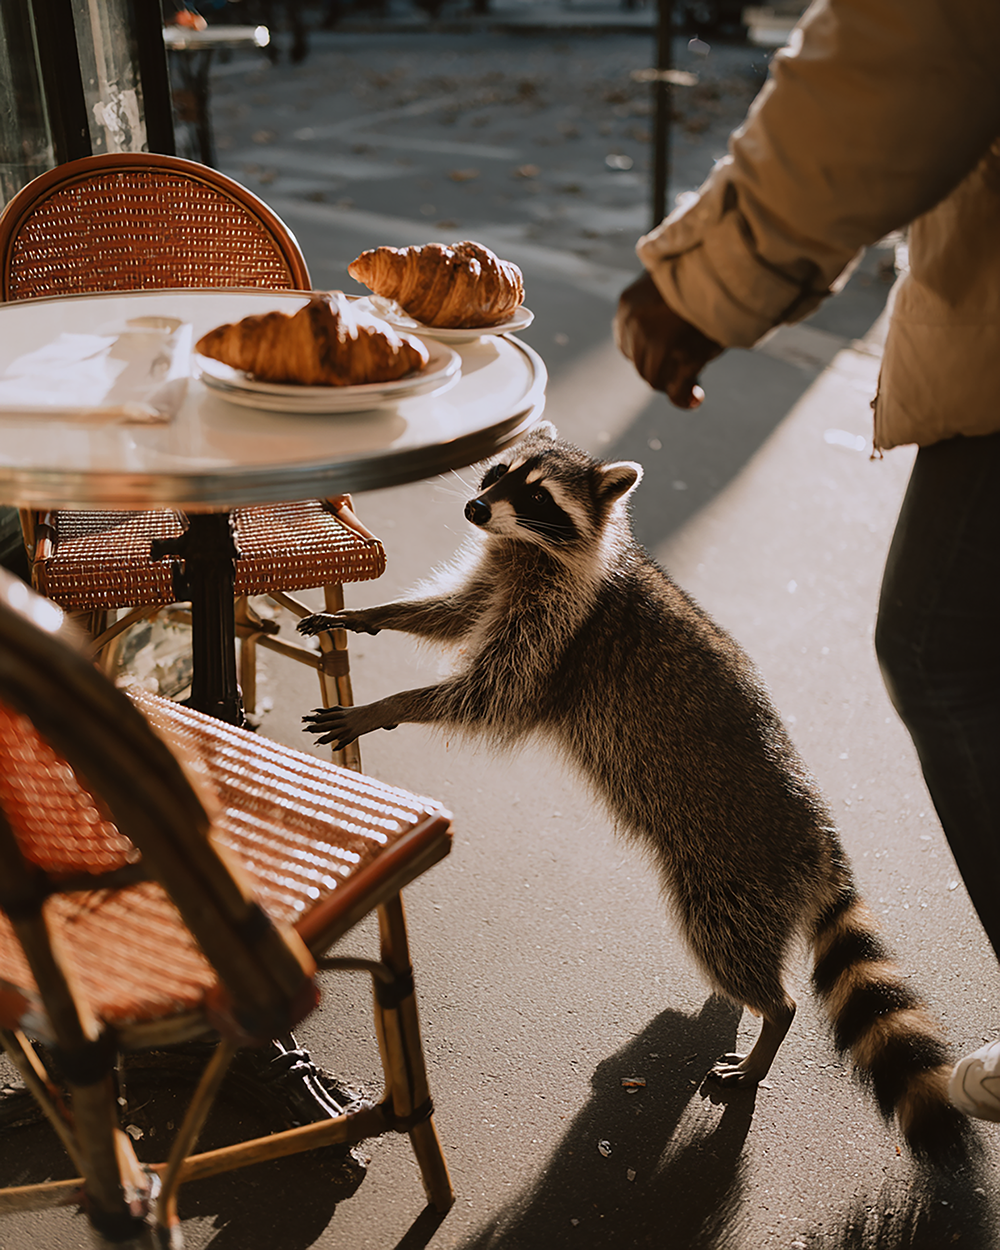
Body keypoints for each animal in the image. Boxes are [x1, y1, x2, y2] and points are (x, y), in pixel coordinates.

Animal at [298, 423, 967, 1159]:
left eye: (538, 496)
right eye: (498, 473)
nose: (474, 509)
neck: (530, 547)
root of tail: (818, 838)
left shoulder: (558, 629)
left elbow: (492, 695)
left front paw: (387, 705)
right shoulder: (504, 575)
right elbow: (454, 611)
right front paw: (374, 613)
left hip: (728, 876)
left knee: (736, 949)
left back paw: (771, 1018)